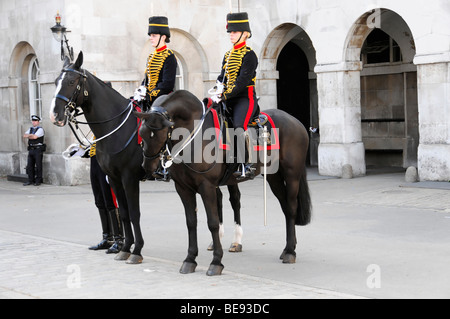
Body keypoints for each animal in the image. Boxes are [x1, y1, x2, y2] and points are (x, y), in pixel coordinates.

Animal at [50, 51, 146, 264]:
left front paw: (136, 250)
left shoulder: (130, 177)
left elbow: (134, 213)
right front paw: (125, 248)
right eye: (55, 82)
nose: (55, 116)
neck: (116, 126)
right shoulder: (115, 178)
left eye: (71, 81)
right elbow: (124, 212)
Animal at [135, 89, 312, 276]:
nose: (148, 167)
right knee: (285, 208)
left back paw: (290, 252)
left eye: (158, 133)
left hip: (291, 175)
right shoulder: (183, 188)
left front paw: (216, 262)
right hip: (274, 177)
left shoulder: (206, 186)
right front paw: (190, 260)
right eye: (142, 133)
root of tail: (294, 120)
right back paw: (287, 249)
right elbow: (191, 222)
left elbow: (212, 223)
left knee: (291, 208)